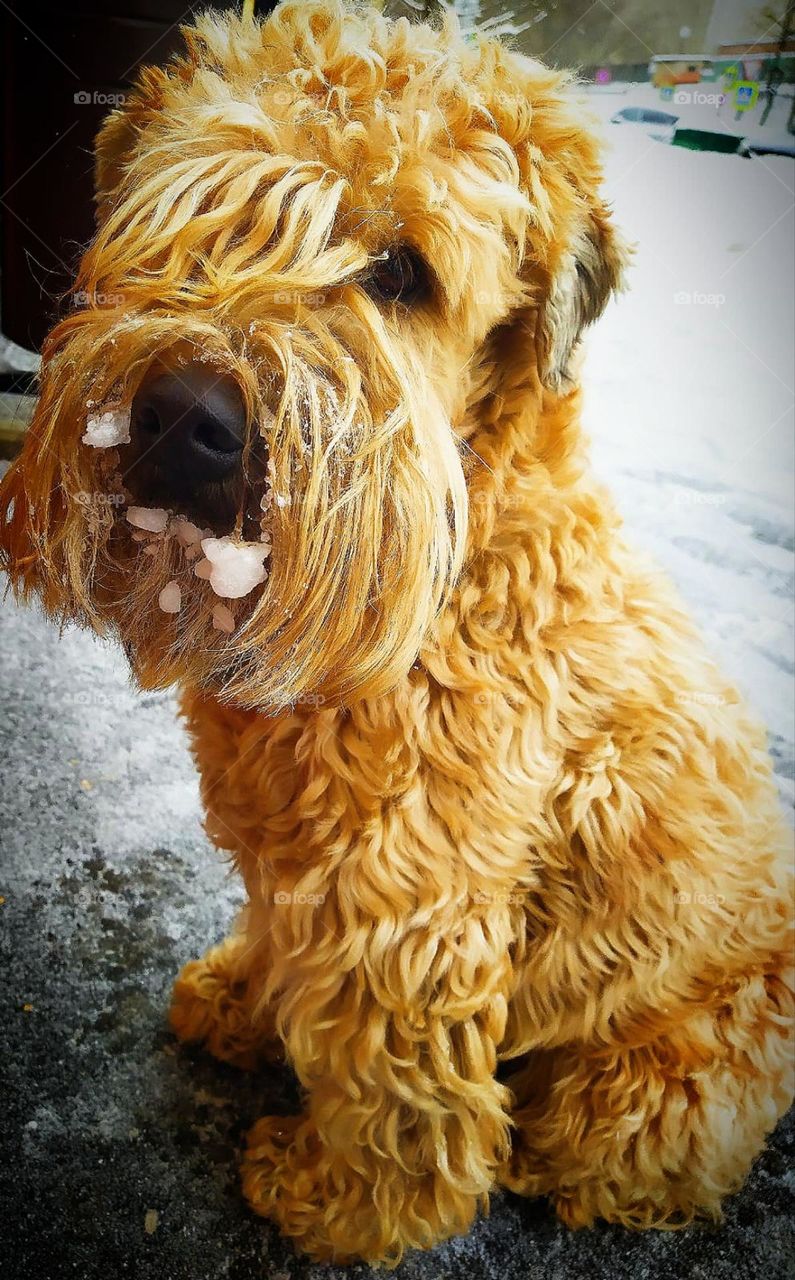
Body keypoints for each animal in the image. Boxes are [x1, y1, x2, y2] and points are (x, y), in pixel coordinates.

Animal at [1, 0, 793, 1259]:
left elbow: (401, 1085)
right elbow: (281, 939)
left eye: (403, 271)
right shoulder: (297, 866)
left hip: (652, 1075)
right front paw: (242, 999)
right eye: (188, 205)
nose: (184, 418)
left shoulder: (411, 902)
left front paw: (342, 1198)